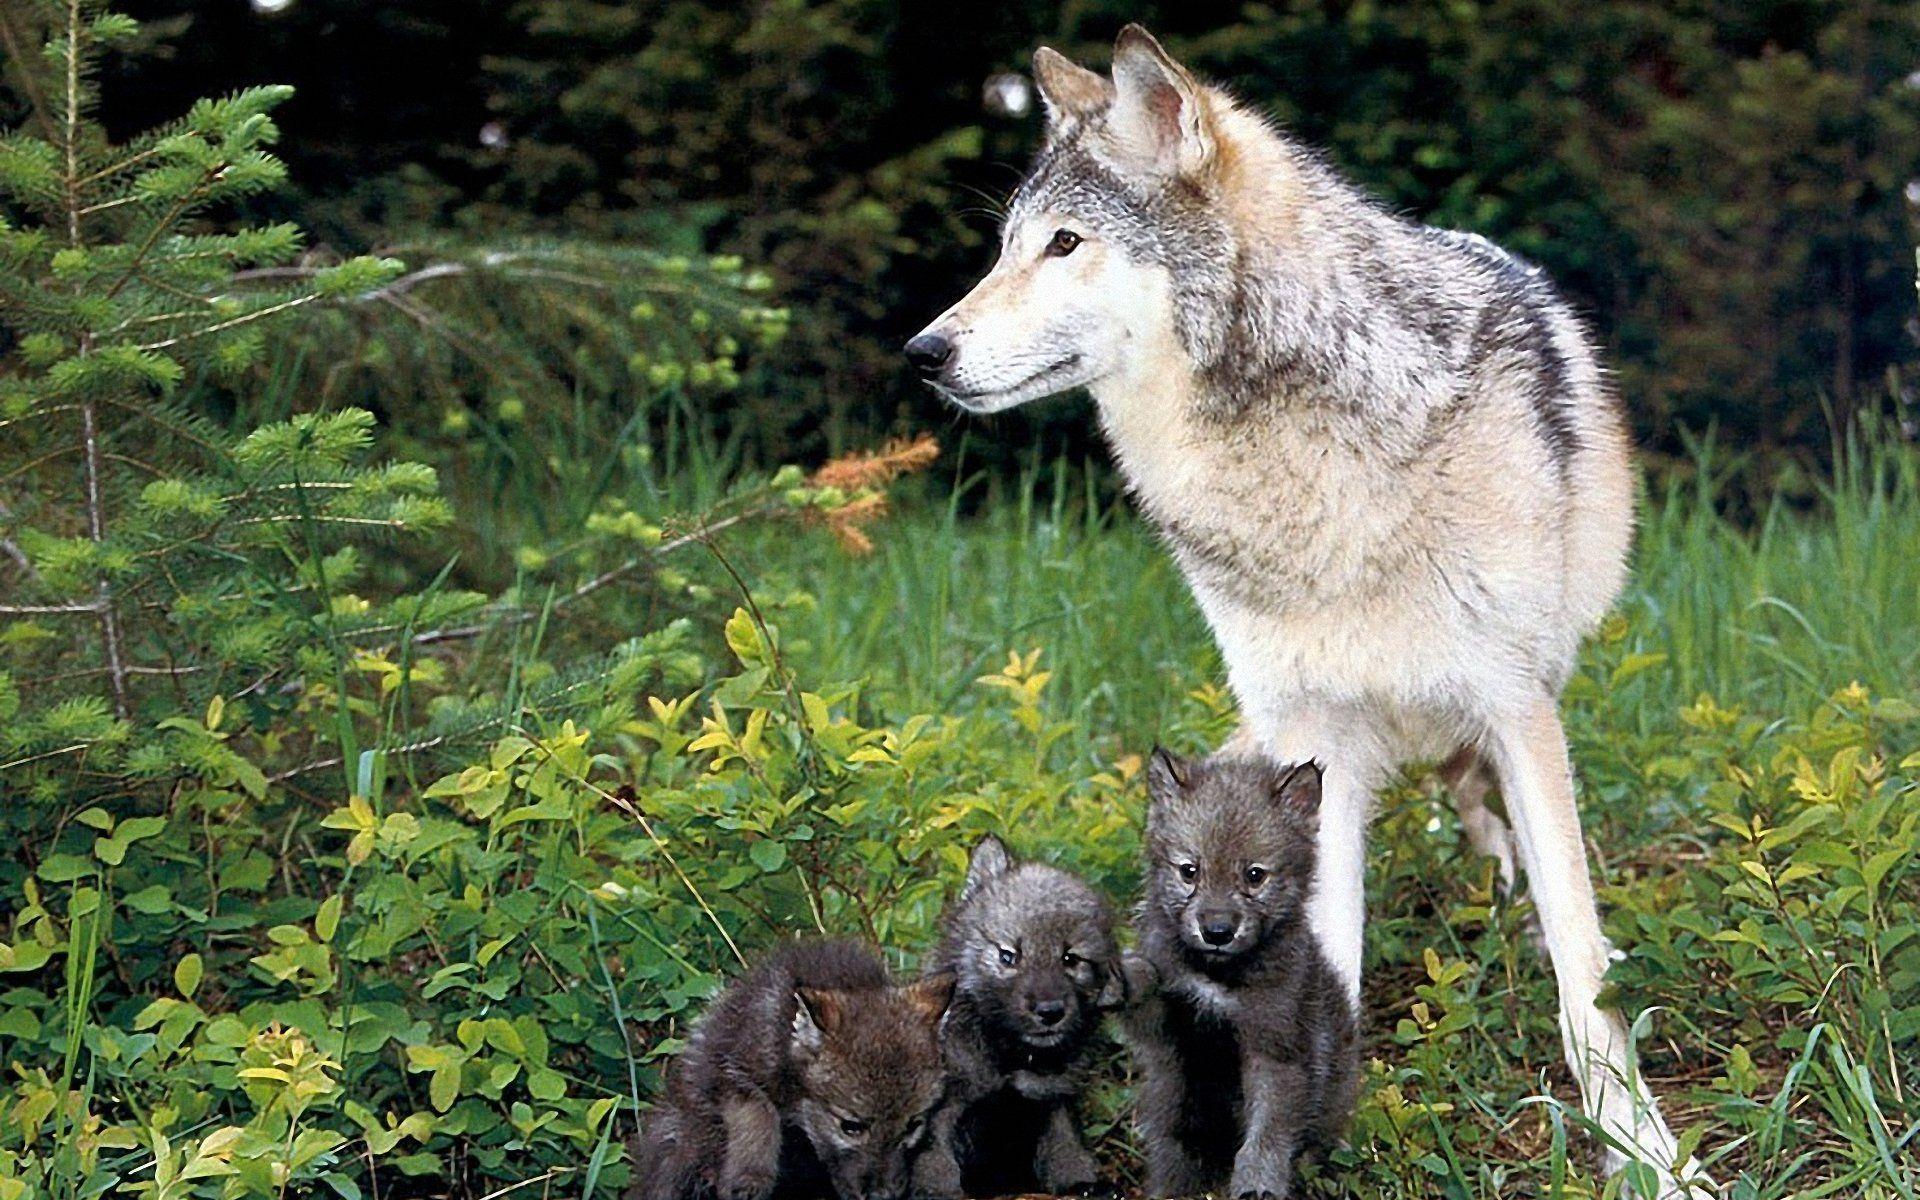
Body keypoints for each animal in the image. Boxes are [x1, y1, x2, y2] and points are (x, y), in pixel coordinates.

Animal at [630, 939, 954, 1200]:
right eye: (850, 1126)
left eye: (913, 1125)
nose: (881, 1196)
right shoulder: (731, 1073)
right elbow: (758, 1115)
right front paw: (750, 1177)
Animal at [915, 836, 1124, 1198]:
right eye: (1008, 955)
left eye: (1070, 958)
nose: (1050, 1012)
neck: (1009, 1055)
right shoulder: (947, 1106)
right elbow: (936, 1163)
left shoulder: (1051, 1098)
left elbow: (1065, 1150)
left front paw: (1083, 1183)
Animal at [1124, 750, 1358, 1200]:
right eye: (1189, 871)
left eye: (1254, 875)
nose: (1217, 931)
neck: (1219, 976)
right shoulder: (1166, 1034)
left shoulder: (1274, 1048)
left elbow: (1267, 1131)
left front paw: (1258, 1185)